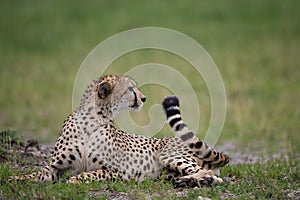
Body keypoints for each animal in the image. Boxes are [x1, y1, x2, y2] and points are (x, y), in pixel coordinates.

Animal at [10, 74, 229, 187]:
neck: (92, 122)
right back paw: (185, 182)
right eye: (130, 89)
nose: (144, 98)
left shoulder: (119, 170)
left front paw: (76, 179)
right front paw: (15, 178)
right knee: (211, 176)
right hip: (167, 171)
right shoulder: (55, 168)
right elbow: (36, 174)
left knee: (210, 174)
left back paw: (190, 181)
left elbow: (92, 174)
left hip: (170, 156)